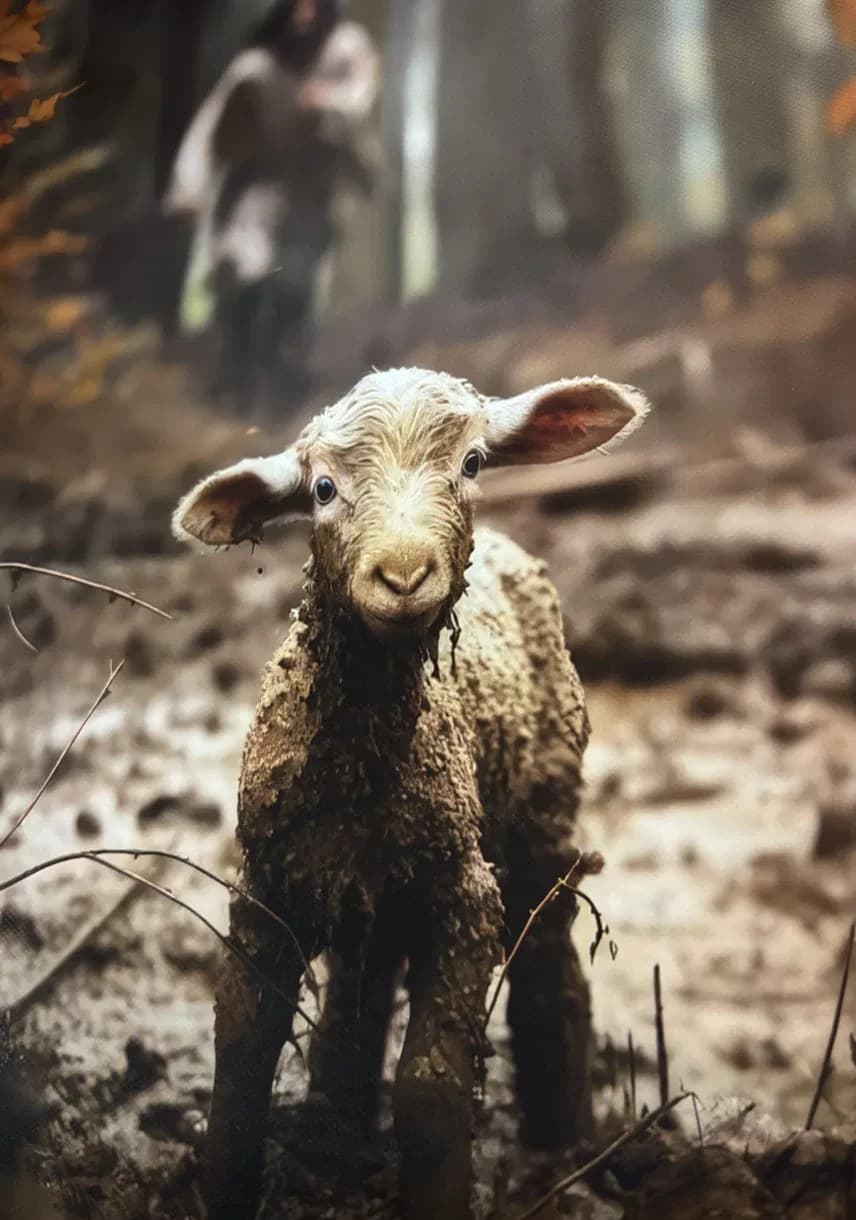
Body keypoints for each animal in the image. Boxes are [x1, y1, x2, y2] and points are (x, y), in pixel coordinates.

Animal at [172, 366, 650, 1220]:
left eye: (473, 464)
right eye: (323, 489)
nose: (401, 576)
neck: (362, 764)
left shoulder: (463, 890)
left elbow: (429, 1091)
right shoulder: (267, 883)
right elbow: (242, 1057)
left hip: (541, 812)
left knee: (549, 956)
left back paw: (562, 1139)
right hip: (379, 881)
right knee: (362, 980)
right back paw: (338, 1126)